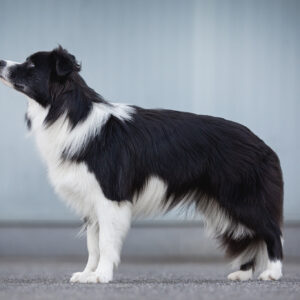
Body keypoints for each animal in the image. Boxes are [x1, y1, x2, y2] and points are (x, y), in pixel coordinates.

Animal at [0, 47, 284, 284]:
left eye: (32, 65)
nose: (1, 61)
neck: (68, 114)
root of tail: (262, 144)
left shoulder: (109, 197)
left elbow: (106, 242)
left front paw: (101, 276)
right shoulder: (90, 201)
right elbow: (93, 244)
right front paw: (88, 273)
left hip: (241, 197)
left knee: (270, 231)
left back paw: (273, 272)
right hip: (227, 204)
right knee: (248, 234)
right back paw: (243, 273)